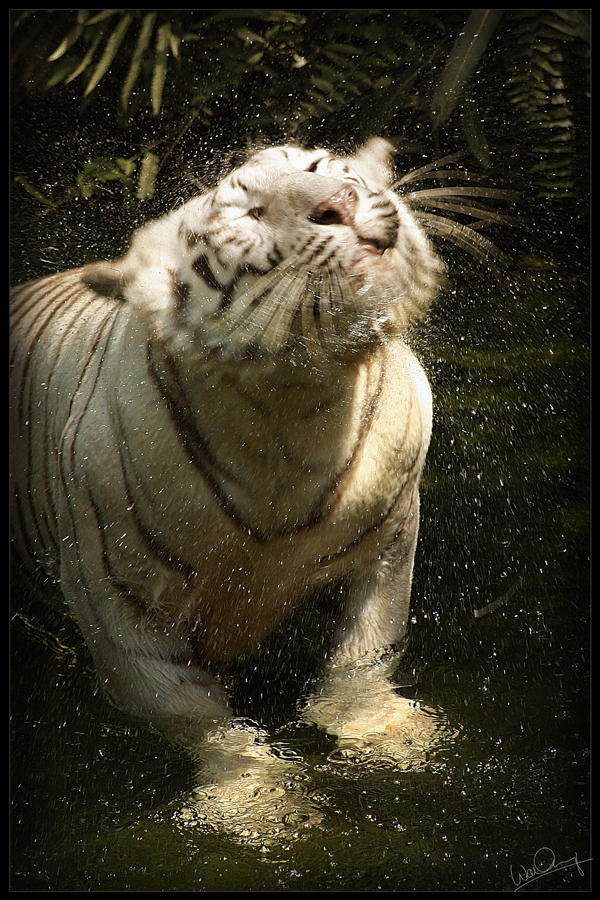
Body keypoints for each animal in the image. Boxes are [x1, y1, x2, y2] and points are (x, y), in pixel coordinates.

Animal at [9, 141, 442, 728]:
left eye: (315, 167)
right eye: (248, 214)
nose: (341, 201)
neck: (296, 413)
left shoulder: (387, 550)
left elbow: (362, 667)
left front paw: (387, 730)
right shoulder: (122, 611)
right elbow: (198, 716)